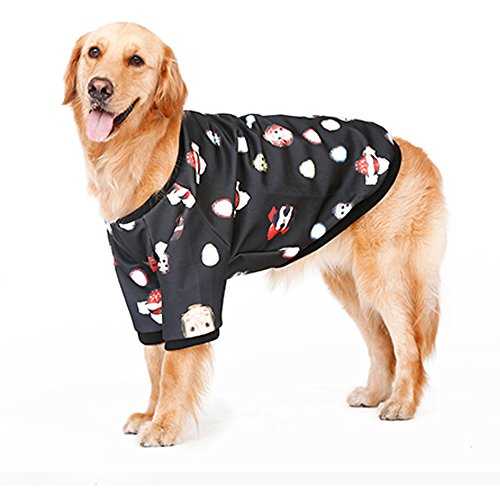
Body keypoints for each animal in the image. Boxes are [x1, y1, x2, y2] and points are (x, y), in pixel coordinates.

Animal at [64, 22, 446, 447]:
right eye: (94, 52)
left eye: (135, 60)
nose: (98, 88)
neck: (142, 152)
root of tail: (409, 148)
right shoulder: (139, 281)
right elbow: (154, 359)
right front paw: (150, 412)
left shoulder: (188, 274)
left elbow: (175, 364)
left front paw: (165, 425)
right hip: (348, 280)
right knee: (382, 342)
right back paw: (376, 393)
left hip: (382, 274)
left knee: (408, 343)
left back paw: (403, 403)